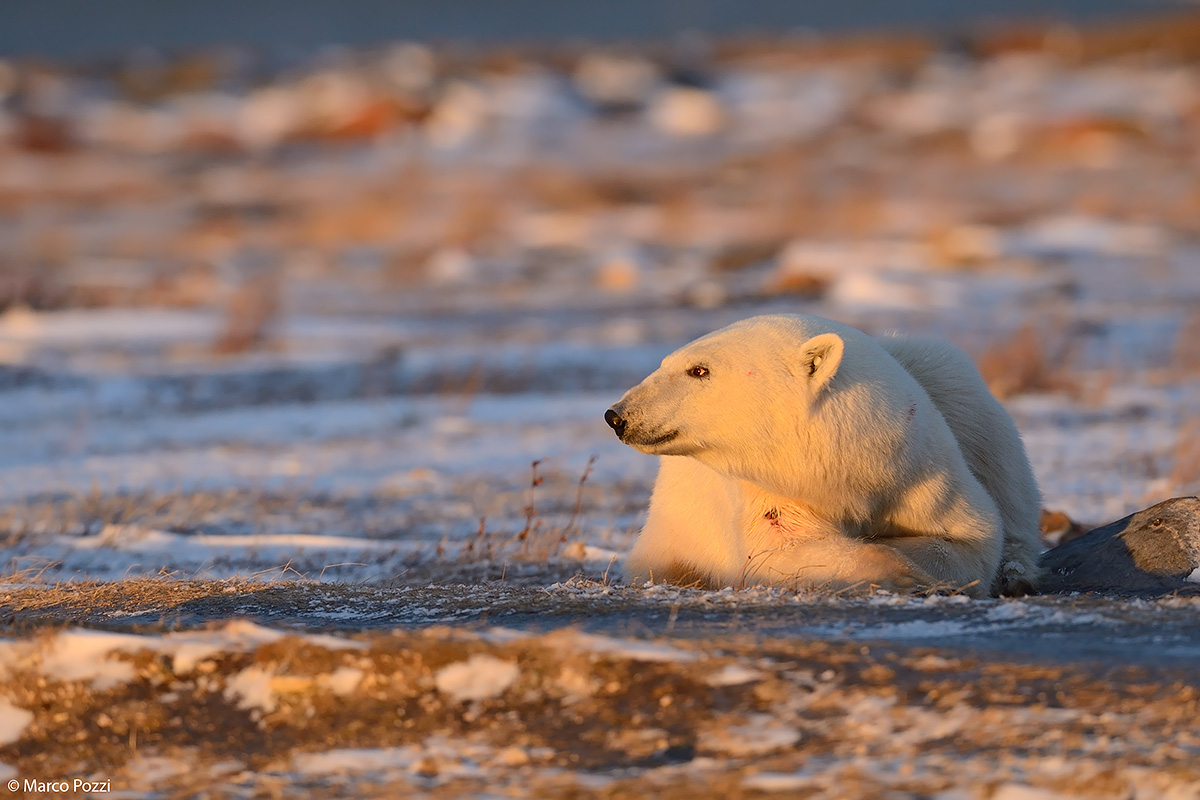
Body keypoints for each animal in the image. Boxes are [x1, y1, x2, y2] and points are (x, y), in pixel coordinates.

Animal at [603, 314, 1042, 597]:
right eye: (667, 362)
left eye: (699, 370)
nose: (618, 415)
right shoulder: (770, 489)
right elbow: (779, 550)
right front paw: (901, 573)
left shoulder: (919, 472)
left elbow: (970, 536)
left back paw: (1017, 572)